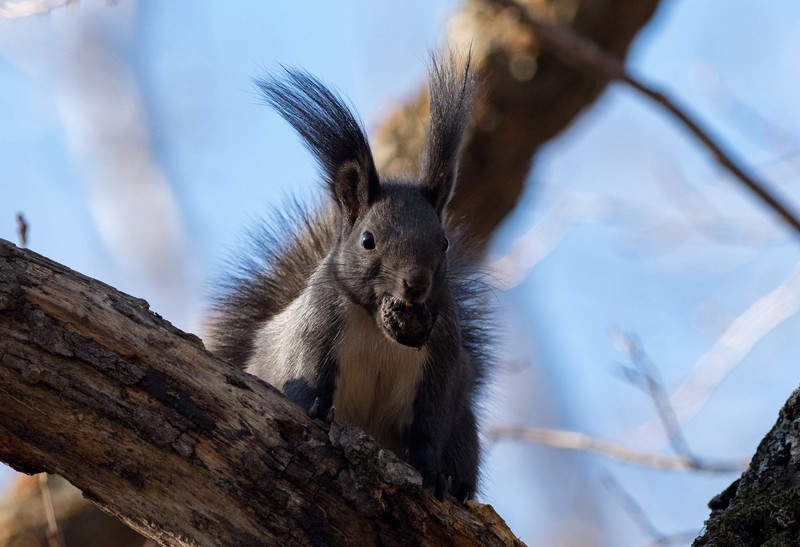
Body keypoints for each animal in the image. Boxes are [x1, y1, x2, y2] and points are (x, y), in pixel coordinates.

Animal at [206, 53, 490, 504]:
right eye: (368, 240)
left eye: (443, 242)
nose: (416, 283)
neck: (378, 326)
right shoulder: (316, 327)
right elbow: (303, 381)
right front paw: (315, 409)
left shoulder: (442, 358)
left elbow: (430, 426)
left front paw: (432, 473)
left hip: (465, 428)